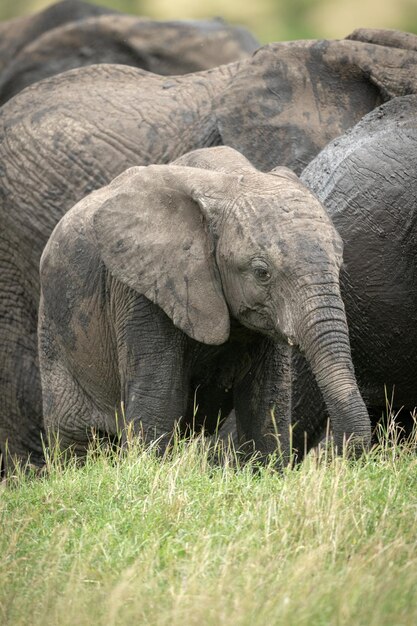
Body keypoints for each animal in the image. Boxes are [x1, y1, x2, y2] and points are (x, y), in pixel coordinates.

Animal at [38, 147, 370, 464]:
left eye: (339, 265)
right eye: (262, 272)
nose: (330, 454)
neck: (227, 180)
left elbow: (266, 404)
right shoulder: (144, 289)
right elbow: (157, 404)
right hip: (54, 340)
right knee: (75, 445)